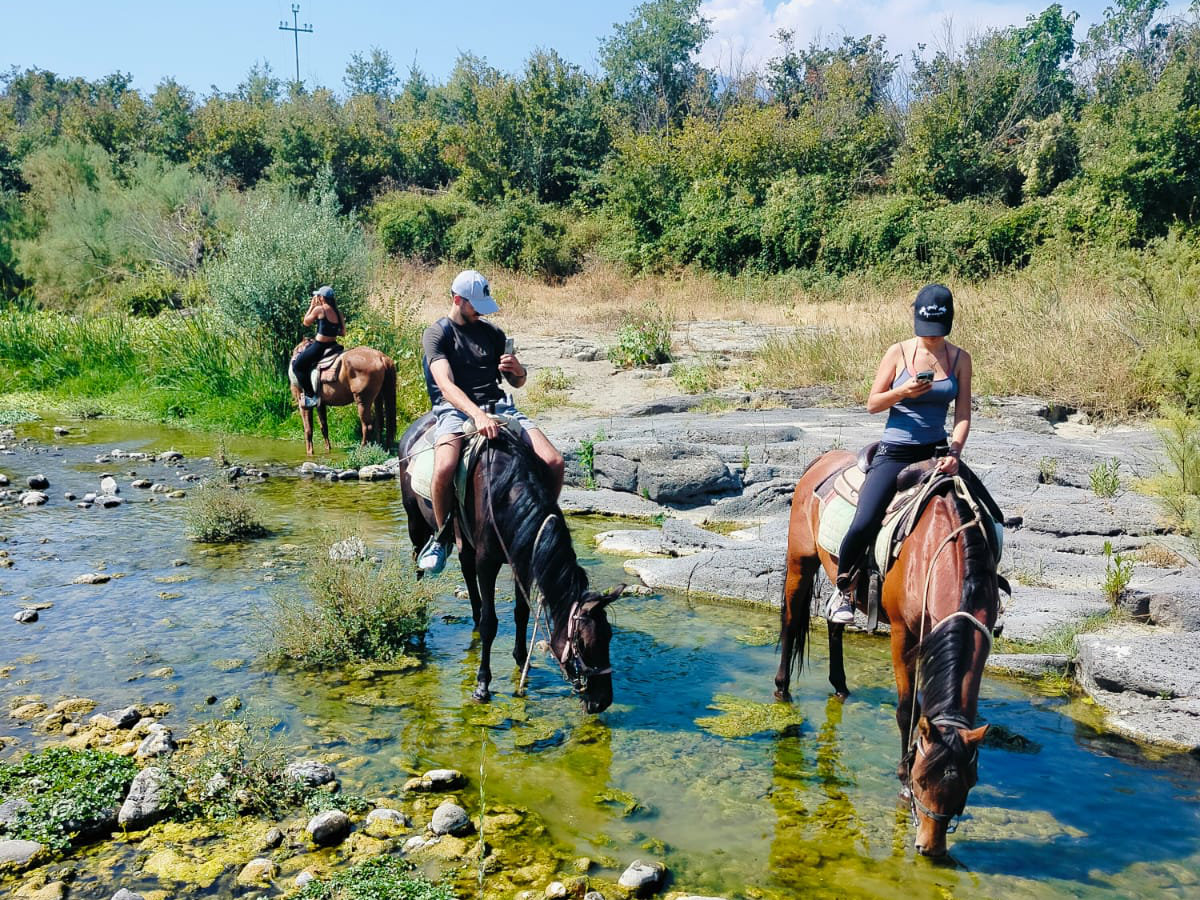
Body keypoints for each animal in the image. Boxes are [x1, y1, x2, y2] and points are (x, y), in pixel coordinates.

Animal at [397, 412, 621, 714]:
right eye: (583, 643)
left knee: (465, 570)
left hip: (463, 539)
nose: (602, 701)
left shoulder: (521, 559)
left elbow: (521, 613)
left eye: (609, 636)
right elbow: (491, 624)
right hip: (416, 523)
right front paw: (482, 685)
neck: (506, 493)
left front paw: (521, 660)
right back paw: (421, 609)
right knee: (418, 564)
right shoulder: (487, 562)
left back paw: (473, 616)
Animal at [774, 450, 999, 858]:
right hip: (801, 558)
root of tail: (824, 457)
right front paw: (901, 776)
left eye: (967, 786)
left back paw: (840, 686)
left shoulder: (980, 635)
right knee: (790, 619)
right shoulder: (902, 634)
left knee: (834, 620)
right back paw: (782, 689)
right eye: (922, 779)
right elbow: (907, 710)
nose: (930, 848)